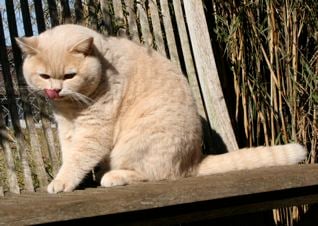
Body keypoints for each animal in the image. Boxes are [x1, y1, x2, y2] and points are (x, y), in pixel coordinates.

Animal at [15, 24, 308, 193]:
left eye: (69, 76)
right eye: (44, 76)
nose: (54, 91)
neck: (71, 108)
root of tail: (192, 162)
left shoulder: (93, 130)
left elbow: (77, 158)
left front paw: (61, 182)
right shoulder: (67, 128)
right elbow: (70, 155)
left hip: (134, 143)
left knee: (156, 175)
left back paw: (113, 176)